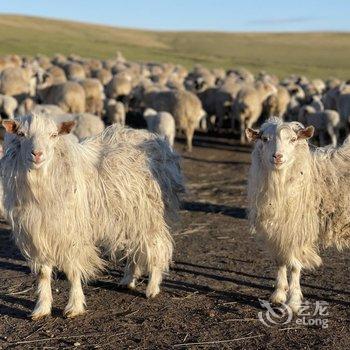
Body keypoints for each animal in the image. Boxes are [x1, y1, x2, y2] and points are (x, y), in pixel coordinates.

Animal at [0, 113, 186, 318]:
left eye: (54, 135)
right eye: (21, 134)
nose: (37, 154)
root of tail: (155, 139)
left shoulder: (73, 234)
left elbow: (73, 270)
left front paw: (74, 306)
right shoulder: (39, 232)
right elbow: (43, 273)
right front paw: (41, 308)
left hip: (150, 215)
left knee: (156, 246)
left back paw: (152, 287)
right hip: (129, 216)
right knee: (135, 248)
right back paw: (128, 280)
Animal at [246, 117, 350, 312]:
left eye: (293, 139)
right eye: (264, 139)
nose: (277, 156)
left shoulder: (297, 229)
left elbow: (294, 266)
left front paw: (293, 301)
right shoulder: (278, 230)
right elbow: (280, 261)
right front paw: (278, 295)